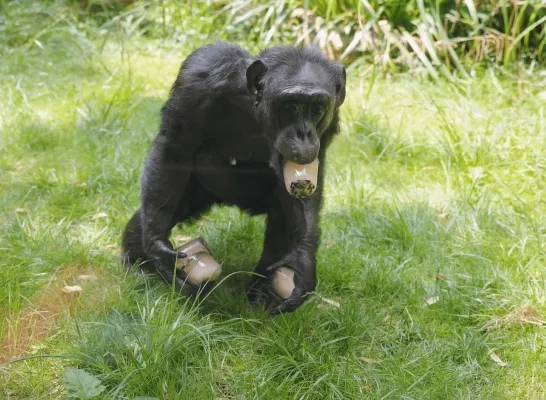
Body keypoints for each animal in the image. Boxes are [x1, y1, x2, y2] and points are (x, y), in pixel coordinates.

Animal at [122, 41, 344, 316]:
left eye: (317, 109)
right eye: (292, 106)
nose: (304, 133)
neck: (254, 109)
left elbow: (306, 175)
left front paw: (301, 262)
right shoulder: (197, 80)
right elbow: (173, 149)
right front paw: (156, 245)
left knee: (282, 212)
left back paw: (263, 291)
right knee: (161, 206)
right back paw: (139, 264)